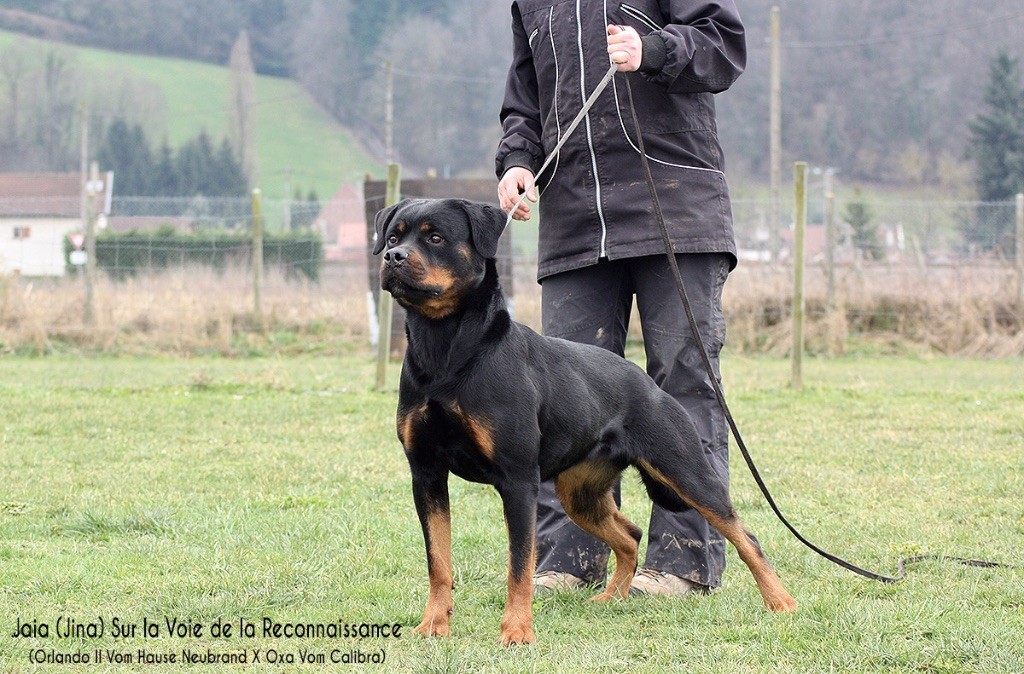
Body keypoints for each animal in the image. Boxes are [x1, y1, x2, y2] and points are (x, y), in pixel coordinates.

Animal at [372, 196, 794, 643]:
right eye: (394, 236)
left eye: (435, 238)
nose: (393, 257)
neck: (446, 348)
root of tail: (647, 383)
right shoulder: (426, 473)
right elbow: (438, 561)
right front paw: (433, 624)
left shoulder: (517, 480)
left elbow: (519, 566)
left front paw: (517, 631)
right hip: (580, 492)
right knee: (629, 536)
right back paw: (611, 598)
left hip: (686, 470)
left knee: (743, 534)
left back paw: (780, 601)